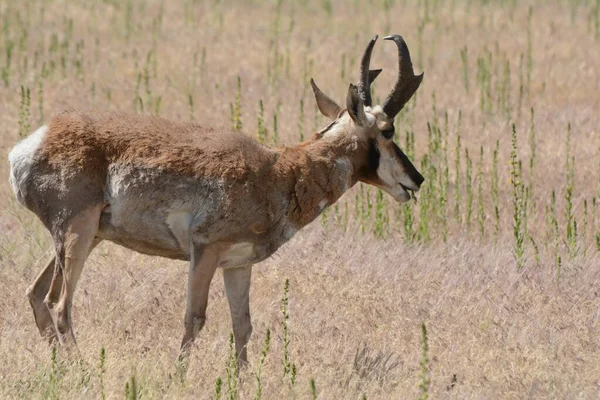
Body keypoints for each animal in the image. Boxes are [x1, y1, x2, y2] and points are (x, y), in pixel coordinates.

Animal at [8, 32, 422, 360]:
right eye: (388, 129)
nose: (417, 179)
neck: (277, 170)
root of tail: (36, 140)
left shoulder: (238, 264)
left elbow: (243, 326)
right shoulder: (204, 250)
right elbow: (195, 318)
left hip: (86, 236)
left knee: (35, 294)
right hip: (77, 234)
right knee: (59, 304)